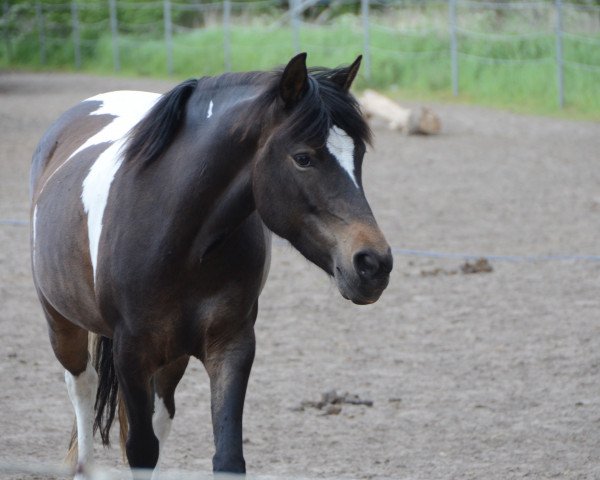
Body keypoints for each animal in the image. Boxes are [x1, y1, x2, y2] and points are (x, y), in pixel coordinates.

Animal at [29, 53, 394, 476]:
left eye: (359, 156)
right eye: (303, 158)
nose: (374, 264)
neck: (181, 241)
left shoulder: (231, 344)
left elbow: (226, 456)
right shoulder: (130, 352)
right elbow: (140, 451)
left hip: (172, 355)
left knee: (161, 413)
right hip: (61, 321)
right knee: (82, 388)